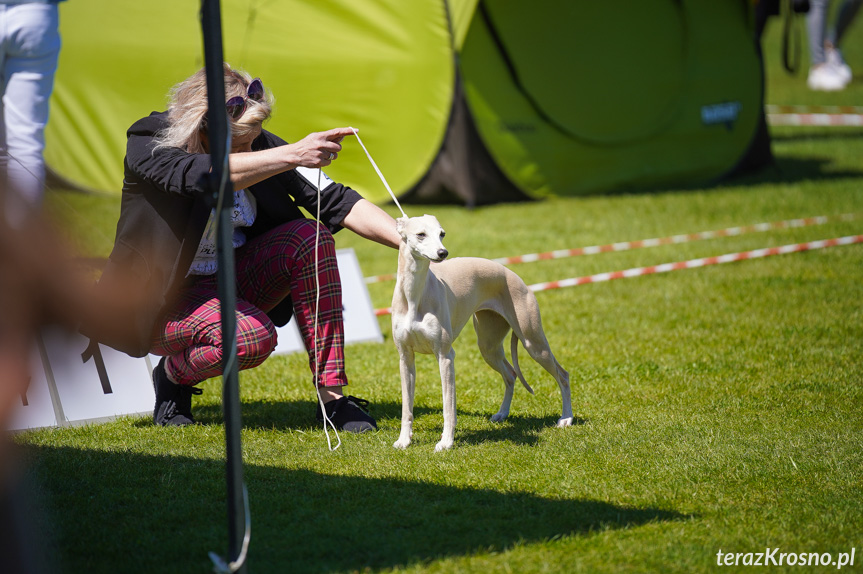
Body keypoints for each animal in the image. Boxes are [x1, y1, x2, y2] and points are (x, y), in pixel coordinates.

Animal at [392, 214, 572, 452]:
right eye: (421, 234)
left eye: (442, 233)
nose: (443, 253)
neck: (415, 295)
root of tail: (515, 276)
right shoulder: (405, 357)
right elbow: (407, 408)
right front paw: (404, 440)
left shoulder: (445, 356)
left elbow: (448, 406)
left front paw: (446, 442)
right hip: (488, 345)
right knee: (511, 374)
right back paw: (502, 414)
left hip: (533, 342)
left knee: (562, 375)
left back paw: (566, 418)